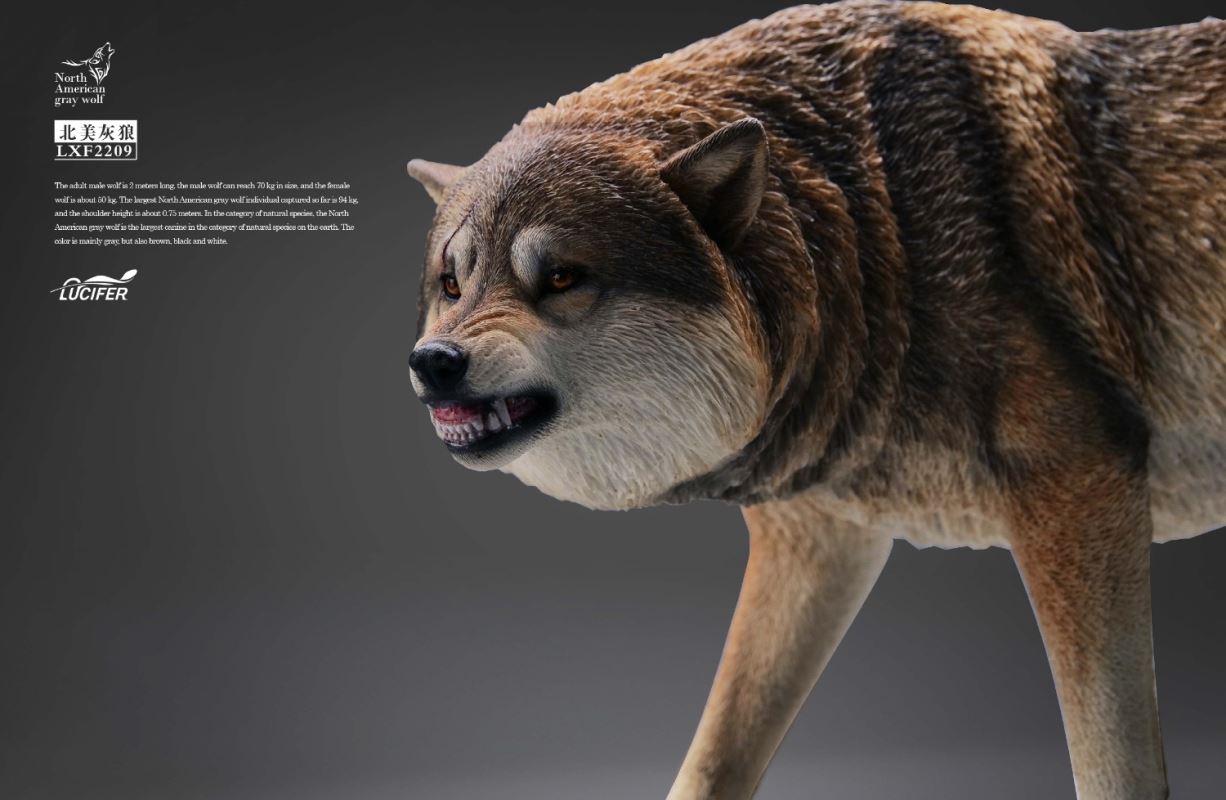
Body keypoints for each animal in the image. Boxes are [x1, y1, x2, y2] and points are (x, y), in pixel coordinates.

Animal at [405, 2, 1225, 797]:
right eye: (452, 283)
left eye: (562, 278)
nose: (433, 362)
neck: (879, 224)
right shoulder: (817, 542)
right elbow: (712, 761)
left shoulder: (1082, 489)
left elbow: (1113, 765)